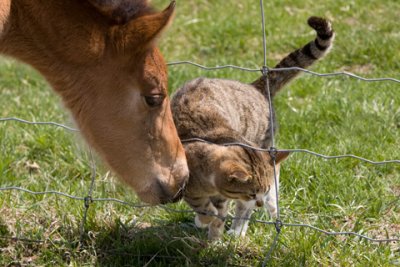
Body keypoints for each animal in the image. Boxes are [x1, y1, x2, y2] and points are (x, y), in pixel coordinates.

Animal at [171, 16, 334, 241]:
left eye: (261, 191)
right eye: (251, 192)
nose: (258, 202)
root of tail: (254, 87)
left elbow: (220, 211)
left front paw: (214, 232)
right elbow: (205, 206)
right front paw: (208, 226)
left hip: (263, 139)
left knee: (274, 172)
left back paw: (246, 224)